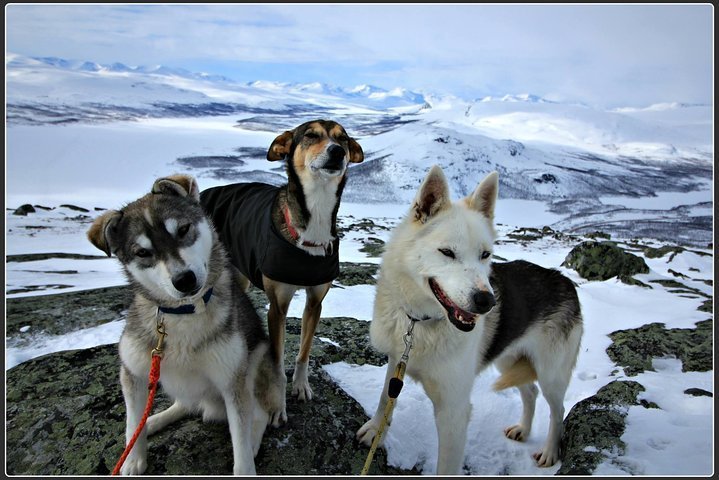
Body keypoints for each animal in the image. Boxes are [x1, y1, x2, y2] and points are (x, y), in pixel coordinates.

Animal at [200, 120, 362, 424]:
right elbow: (275, 362)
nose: (336, 152)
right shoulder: (277, 306)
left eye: (343, 139)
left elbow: (304, 351)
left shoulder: (315, 302)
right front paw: (278, 405)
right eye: (311, 135)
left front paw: (301, 386)